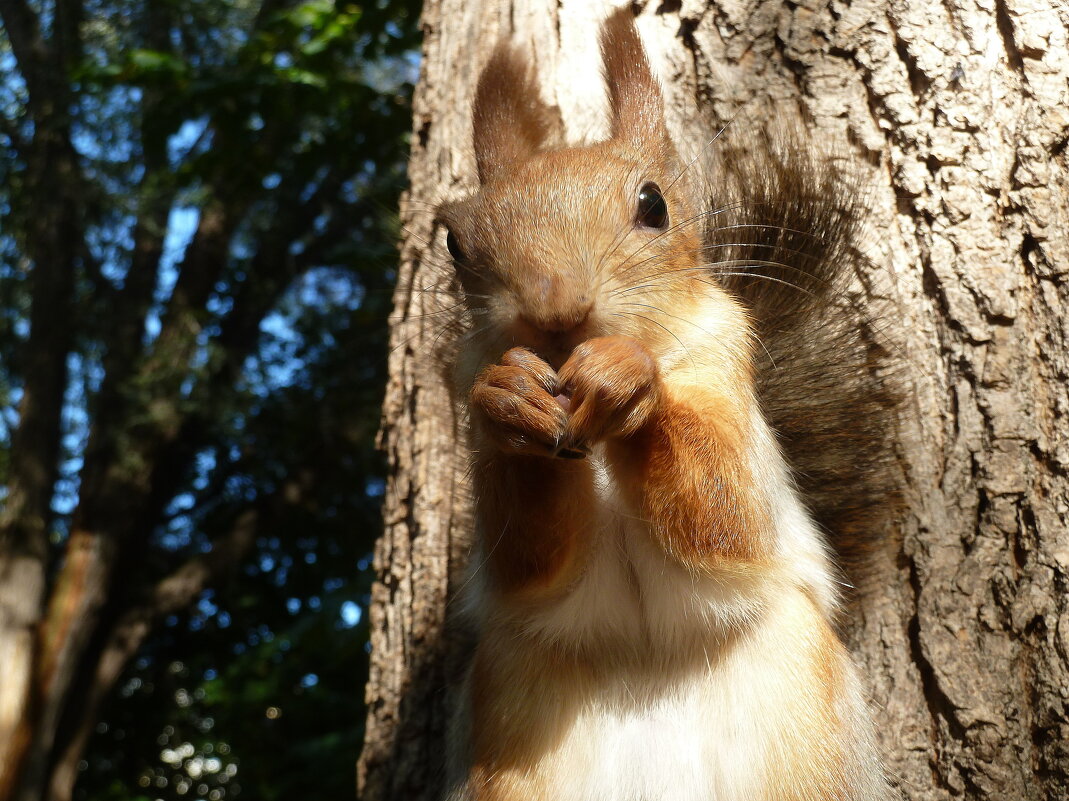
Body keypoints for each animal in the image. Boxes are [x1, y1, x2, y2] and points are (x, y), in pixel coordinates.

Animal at [431, 6, 893, 799]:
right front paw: (509, 398)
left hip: (802, 729)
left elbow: (723, 515)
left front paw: (629, 375)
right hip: (511, 729)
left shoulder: (724, 370)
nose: (557, 310)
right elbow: (528, 559)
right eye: (456, 243)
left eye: (653, 204)